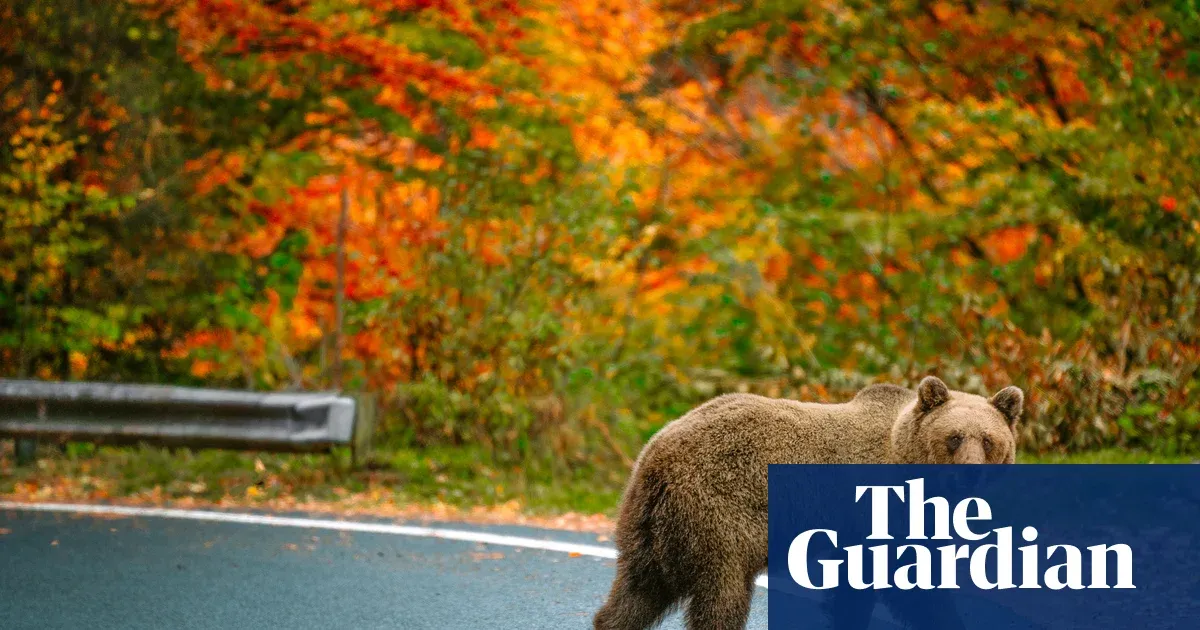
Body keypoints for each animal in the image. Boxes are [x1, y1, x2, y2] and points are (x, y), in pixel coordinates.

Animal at [593, 375, 1024, 630]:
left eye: (988, 440)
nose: (970, 473)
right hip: (718, 514)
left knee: (635, 593)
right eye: (954, 437)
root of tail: (658, 454)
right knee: (722, 595)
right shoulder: (875, 512)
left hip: (649, 527)